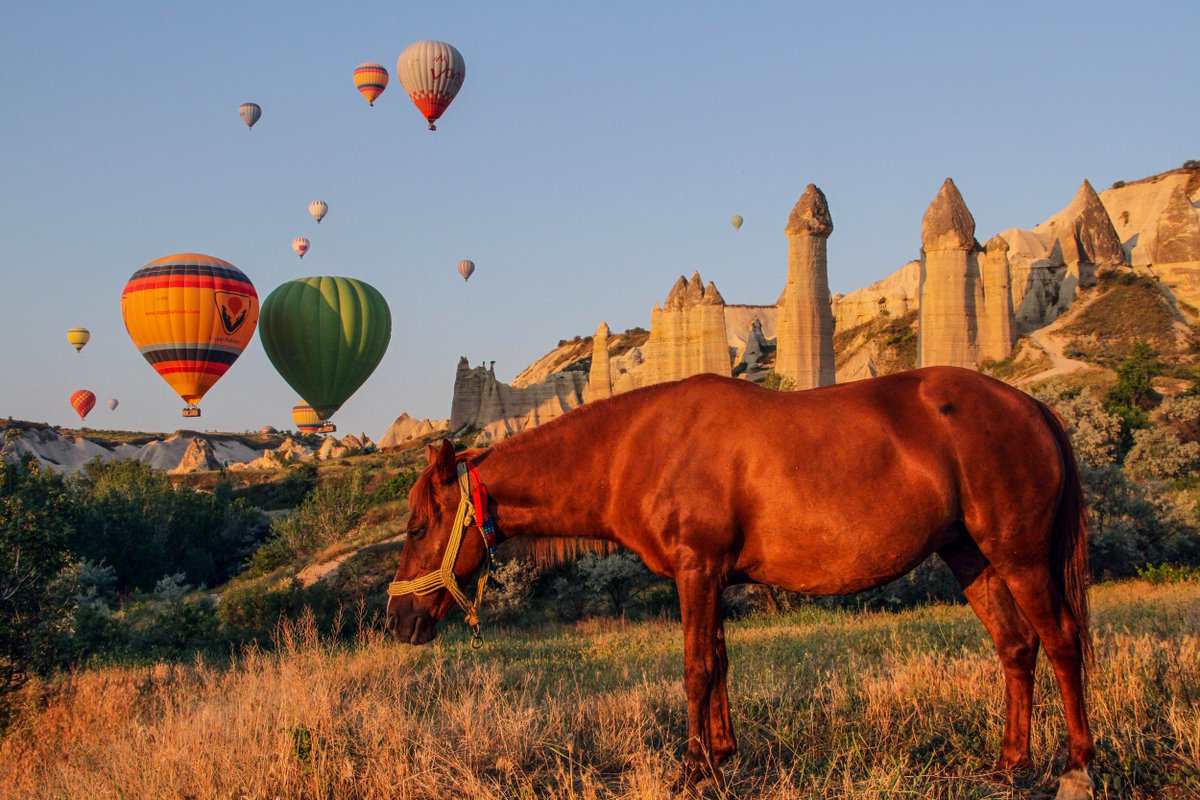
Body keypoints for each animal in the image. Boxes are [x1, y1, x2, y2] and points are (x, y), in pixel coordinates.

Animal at [386, 369, 1099, 800]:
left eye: (419, 525)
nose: (399, 622)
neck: (637, 448)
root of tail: (1032, 406)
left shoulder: (696, 570)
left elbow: (697, 669)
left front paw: (692, 768)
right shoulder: (714, 576)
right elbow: (720, 663)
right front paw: (722, 756)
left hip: (1020, 557)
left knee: (1062, 642)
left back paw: (1076, 768)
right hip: (970, 557)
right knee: (1016, 648)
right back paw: (1010, 765)